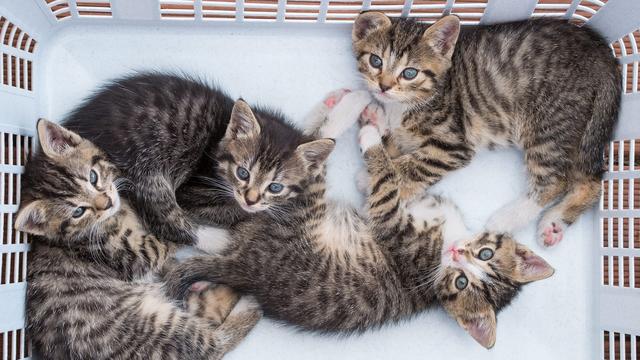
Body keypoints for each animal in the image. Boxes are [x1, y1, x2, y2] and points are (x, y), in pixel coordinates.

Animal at [17, 119, 262, 358]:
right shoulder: (133, 255)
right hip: (155, 324)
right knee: (213, 344)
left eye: (93, 177)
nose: (107, 203)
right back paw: (250, 303)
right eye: (78, 211)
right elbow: (166, 235)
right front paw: (213, 236)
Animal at [64, 71, 328, 246]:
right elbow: (238, 212)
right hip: (142, 165)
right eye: (243, 173)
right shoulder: (193, 192)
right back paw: (216, 241)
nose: (250, 199)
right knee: (163, 215)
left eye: (275, 187)